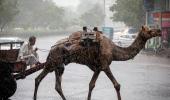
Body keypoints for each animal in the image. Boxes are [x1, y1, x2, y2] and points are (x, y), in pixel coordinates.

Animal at [32, 26, 161, 100]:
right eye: (150, 30)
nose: (159, 31)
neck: (114, 50)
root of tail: (52, 48)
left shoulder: (98, 67)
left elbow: (91, 85)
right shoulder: (105, 65)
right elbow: (117, 85)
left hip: (58, 66)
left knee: (55, 85)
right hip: (53, 63)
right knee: (39, 79)